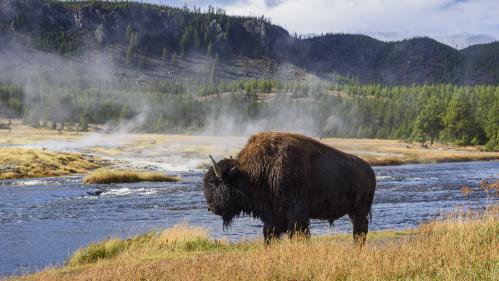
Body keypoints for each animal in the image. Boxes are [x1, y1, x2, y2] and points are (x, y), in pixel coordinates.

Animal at [203, 132, 376, 243]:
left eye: (213, 182)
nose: (210, 208)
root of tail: (369, 170)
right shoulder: (272, 217)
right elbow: (269, 235)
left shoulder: (296, 215)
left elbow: (299, 234)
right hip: (353, 211)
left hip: (360, 210)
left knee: (360, 231)